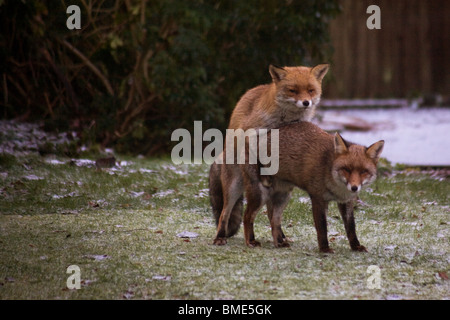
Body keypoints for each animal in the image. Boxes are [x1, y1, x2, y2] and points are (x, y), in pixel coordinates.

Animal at [209, 63, 328, 242]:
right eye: (293, 90)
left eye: (311, 90)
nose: (306, 102)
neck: (283, 120)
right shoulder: (251, 134)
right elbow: (257, 157)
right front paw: (264, 175)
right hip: (233, 187)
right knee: (225, 213)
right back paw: (220, 237)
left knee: (272, 214)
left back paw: (280, 237)